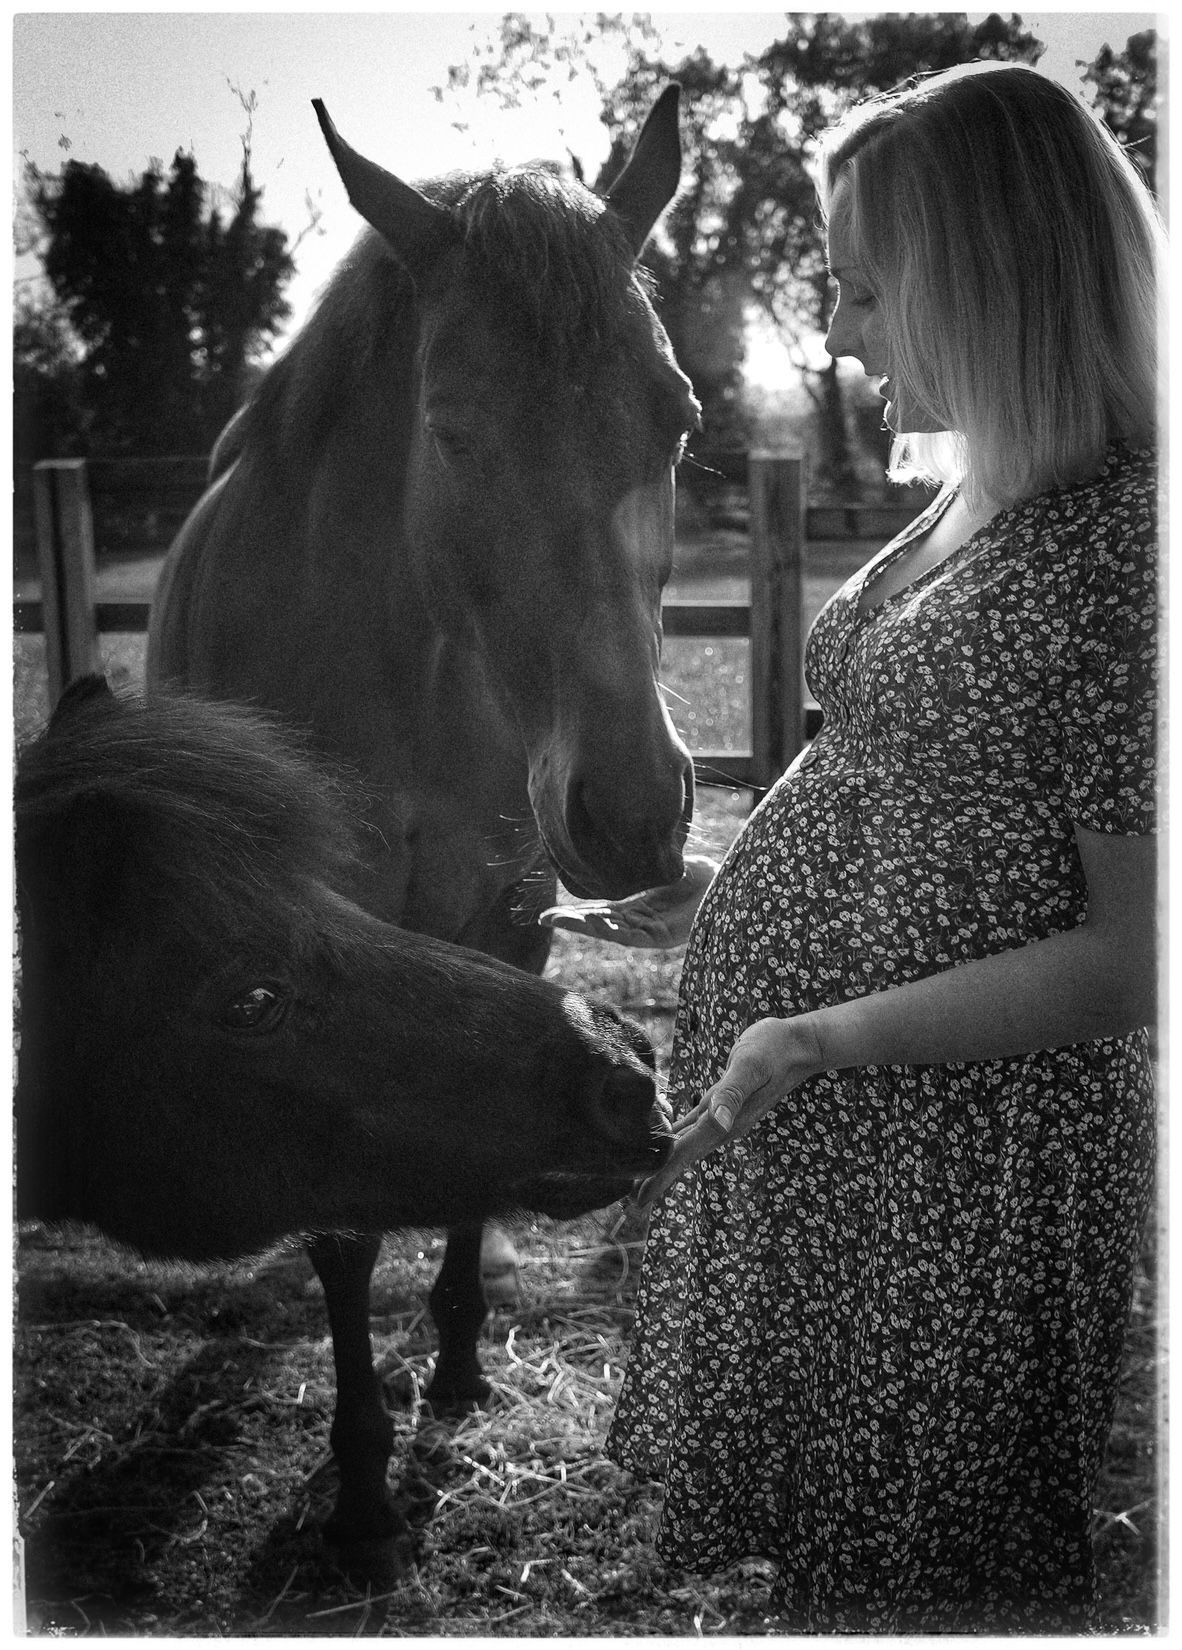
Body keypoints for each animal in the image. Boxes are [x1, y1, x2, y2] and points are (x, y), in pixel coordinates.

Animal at [146, 81, 698, 1516]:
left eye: (675, 415)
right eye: (450, 428)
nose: (631, 813)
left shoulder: (504, 918)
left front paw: (451, 1361)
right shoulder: (306, 965)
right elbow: (343, 1224)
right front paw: (357, 1468)